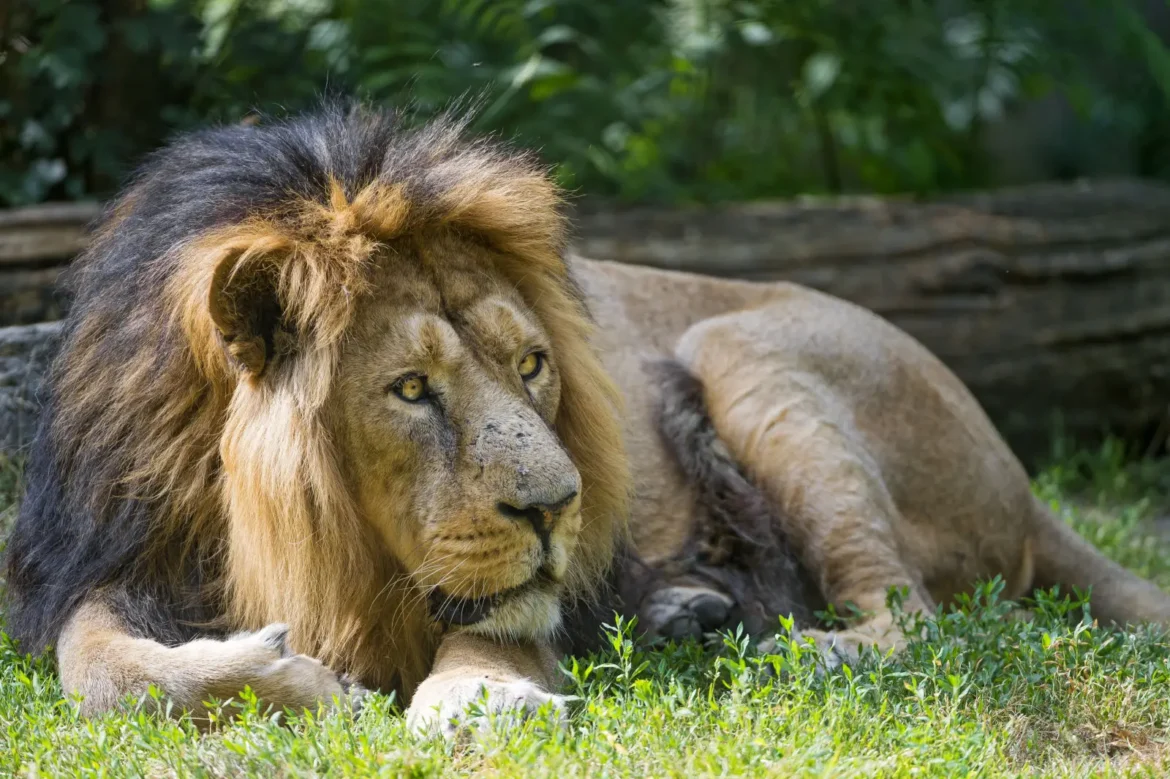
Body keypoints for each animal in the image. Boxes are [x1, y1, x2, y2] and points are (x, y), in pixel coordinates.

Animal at [6, 104, 1170, 734]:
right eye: (412, 389)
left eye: (533, 365)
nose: (556, 509)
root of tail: (1024, 486)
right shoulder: (117, 548)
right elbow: (95, 665)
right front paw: (288, 679)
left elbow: (497, 631)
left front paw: (479, 699)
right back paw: (692, 612)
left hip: (743, 348)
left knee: (914, 618)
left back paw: (787, 651)